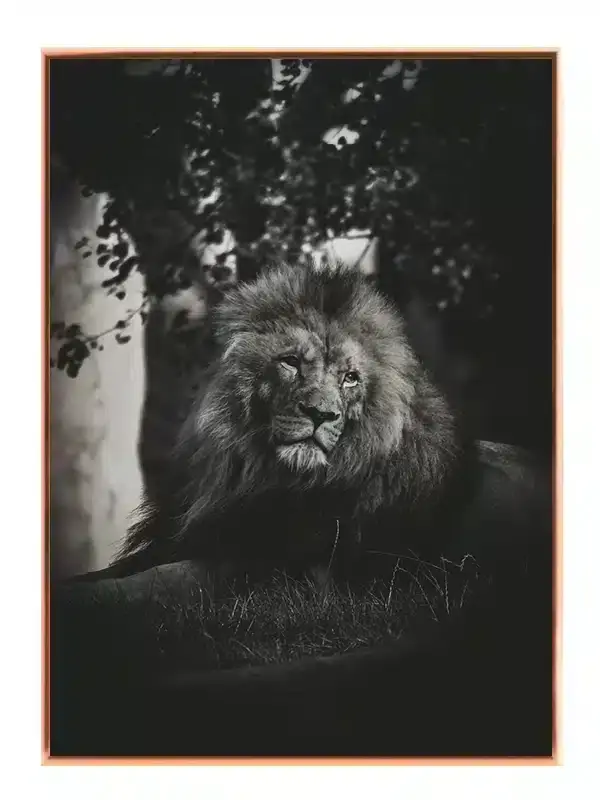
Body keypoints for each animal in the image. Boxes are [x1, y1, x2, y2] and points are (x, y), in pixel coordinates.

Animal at [108, 260, 550, 585]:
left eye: (349, 378)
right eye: (290, 362)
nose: (321, 414)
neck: (258, 476)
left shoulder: (277, 569)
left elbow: (145, 584)